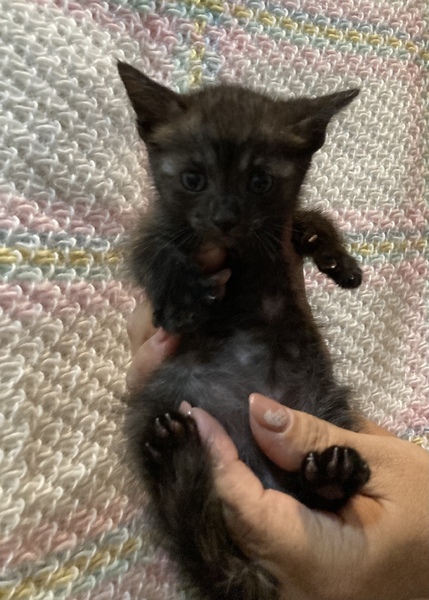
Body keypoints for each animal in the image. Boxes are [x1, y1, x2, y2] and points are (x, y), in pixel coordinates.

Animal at [118, 62, 370, 600]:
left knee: (315, 497)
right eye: (193, 179)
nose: (225, 218)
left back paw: (333, 477)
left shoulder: (275, 225)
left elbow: (303, 216)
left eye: (259, 181)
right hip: (157, 400)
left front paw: (336, 258)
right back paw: (172, 455)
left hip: (326, 400)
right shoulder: (158, 225)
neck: (240, 252)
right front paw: (183, 299)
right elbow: (153, 251)